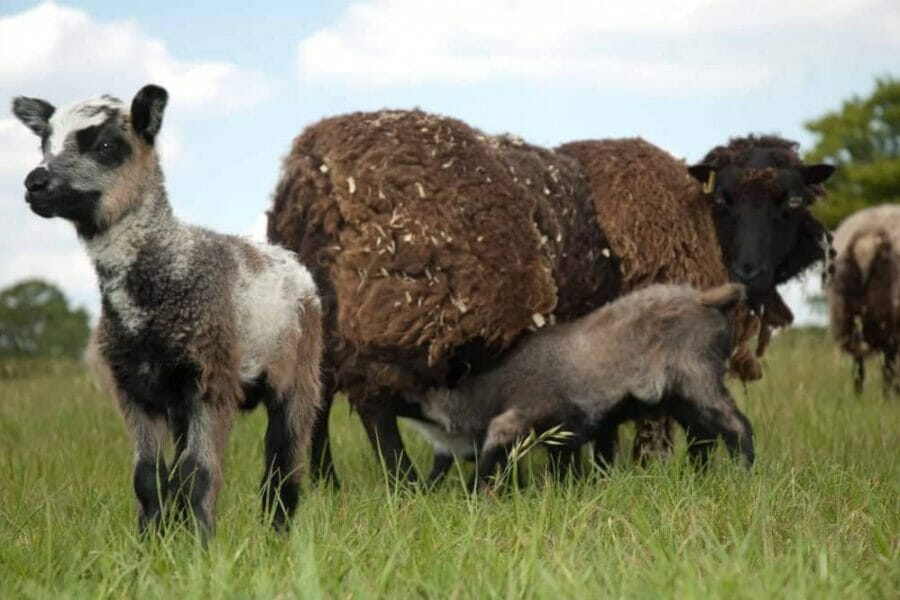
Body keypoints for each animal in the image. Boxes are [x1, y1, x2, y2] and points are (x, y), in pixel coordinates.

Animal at [12, 84, 322, 540]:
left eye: (106, 146)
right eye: (44, 144)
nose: (35, 183)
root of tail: (286, 256)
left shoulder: (211, 378)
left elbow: (198, 471)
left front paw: (200, 545)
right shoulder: (134, 388)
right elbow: (149, 475)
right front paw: (151, 545)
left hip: (300, 371)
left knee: (282, 461)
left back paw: (277, 534)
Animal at [404, 282, 754, 489]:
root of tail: (705, 298)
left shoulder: (530, 415)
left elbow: (497, 449)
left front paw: (474, 495)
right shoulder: (572, 431)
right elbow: (569, 463)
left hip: (699, 376)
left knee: (736, 425)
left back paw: (744, 473)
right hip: (680, 395)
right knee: (703, 434)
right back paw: (699, 475)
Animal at [827, 205, 900, 396]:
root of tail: (867, 240)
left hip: (847, 316)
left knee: (858, 366)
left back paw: (858, 398)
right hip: (887, 318)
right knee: (887, 367)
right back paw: (887, 399)